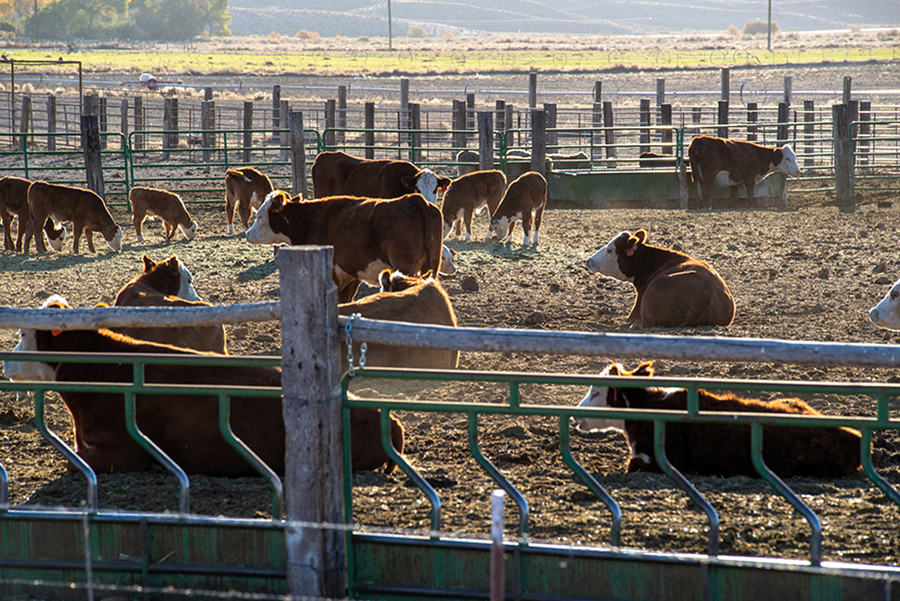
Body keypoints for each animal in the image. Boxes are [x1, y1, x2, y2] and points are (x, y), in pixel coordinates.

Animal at [246, 190, 443, 303]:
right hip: (431, 264)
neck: (310, 219)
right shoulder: (351, 273)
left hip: (405, 265)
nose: (248, 233)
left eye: (259, 216)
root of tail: (410, 199)